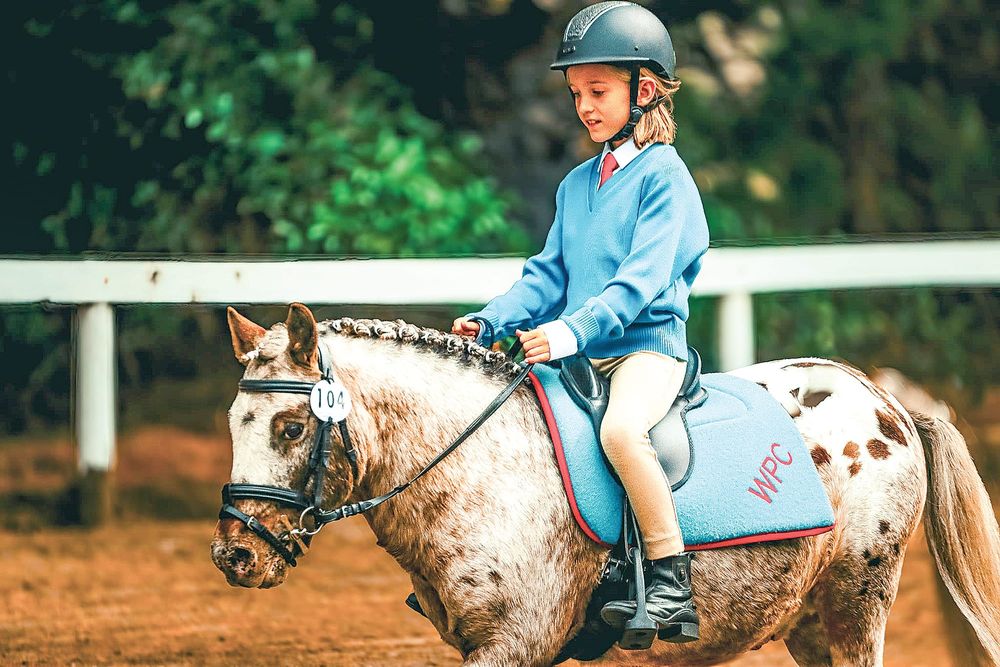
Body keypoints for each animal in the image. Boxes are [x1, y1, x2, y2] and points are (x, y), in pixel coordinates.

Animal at [212, 303, 1000, 666]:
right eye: (233, 422)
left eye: (290, 427)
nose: (233, 555)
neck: (479, 463)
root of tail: (886, 399)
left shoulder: (515, 643)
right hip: (809, 621)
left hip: (855, 605)